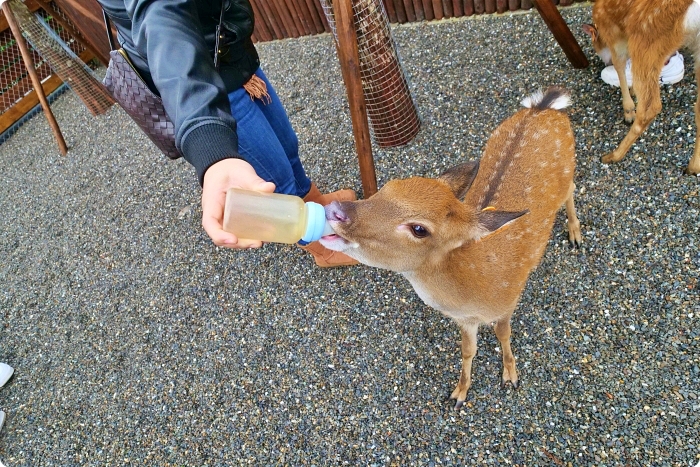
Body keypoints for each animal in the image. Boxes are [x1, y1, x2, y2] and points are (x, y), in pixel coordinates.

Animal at [320, 88, 584, 410]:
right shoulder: (464, 320)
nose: (336, 210)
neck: (474, 289)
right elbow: (468, 350)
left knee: (571, 189)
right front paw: (459, 394)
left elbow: (503, 334)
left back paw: (575, 234)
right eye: (386, 187)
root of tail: (544, 106)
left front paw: (510, 376)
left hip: (570, 165)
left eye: (419, 229)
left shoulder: (509, 300)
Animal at [584, 0, 700, 176]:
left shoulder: (614, 34)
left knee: (650, 107)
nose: (605, 62)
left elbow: (619, 65)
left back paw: (613, 156)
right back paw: (693, 168)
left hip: (647, 37)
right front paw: (632, 93)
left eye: (595, 44)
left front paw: (628, 110)